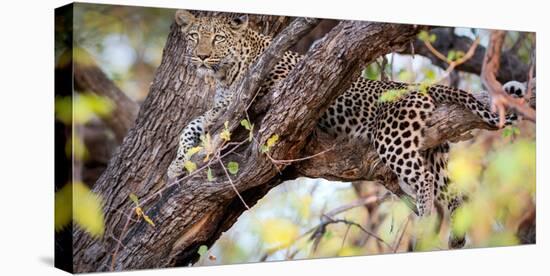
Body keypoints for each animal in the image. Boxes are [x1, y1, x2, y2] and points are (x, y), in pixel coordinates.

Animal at [166, 10, 528, 248]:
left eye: (218, 38)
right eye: (196, 37)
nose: (202, 56)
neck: (225, 73)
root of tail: (419, 89)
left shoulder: (265, 91)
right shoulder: (222, 106)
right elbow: (192, 124)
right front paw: (175, 164)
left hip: (394, 139)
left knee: (424, 181)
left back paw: (425, 223)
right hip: (434, 149)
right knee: (452, 192)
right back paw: (455, 236)